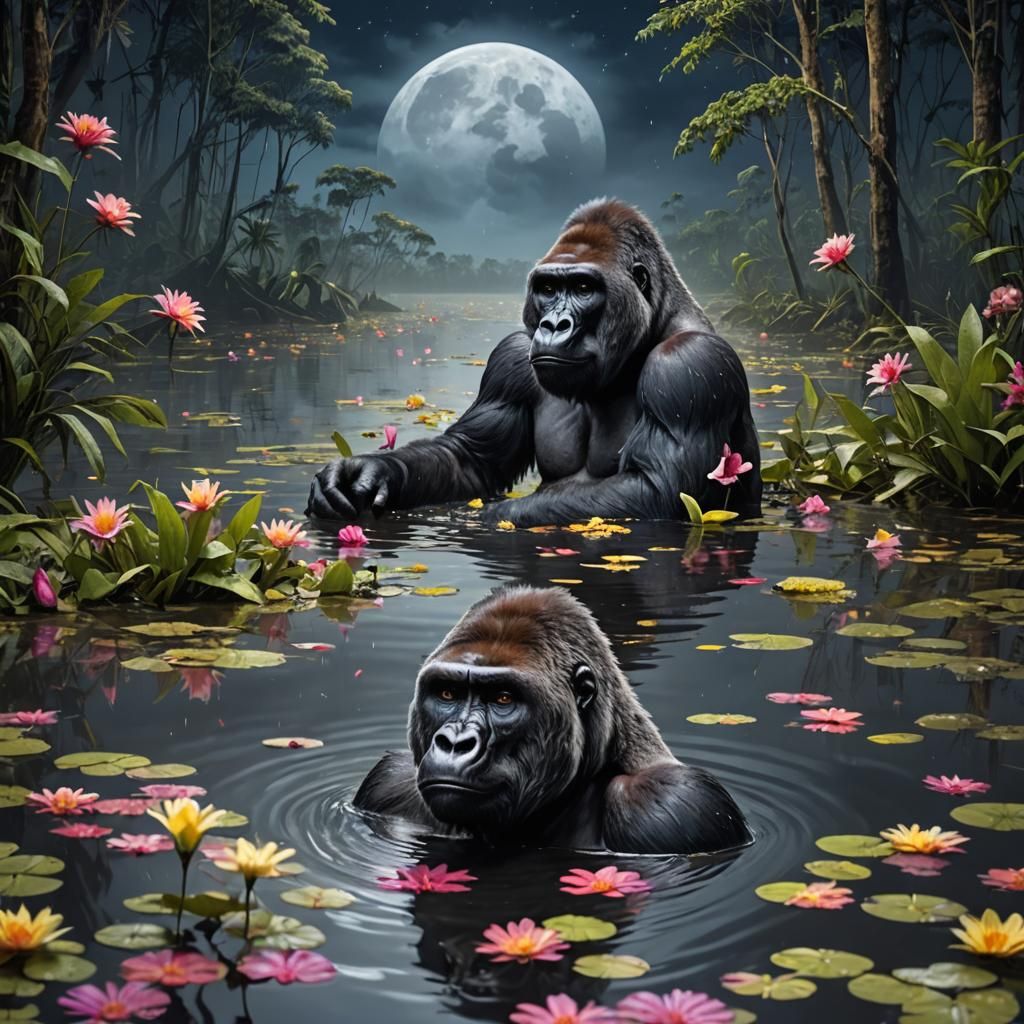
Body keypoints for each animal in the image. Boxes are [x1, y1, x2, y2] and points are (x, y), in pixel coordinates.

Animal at [307, 198, 761, 526]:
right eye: (547, 288)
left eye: (583, 288)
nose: (553, 324)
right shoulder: (510, 359)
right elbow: (469, 459)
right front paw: (367, 472)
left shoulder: (687, 366)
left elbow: (660, 491)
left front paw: (492, 517)